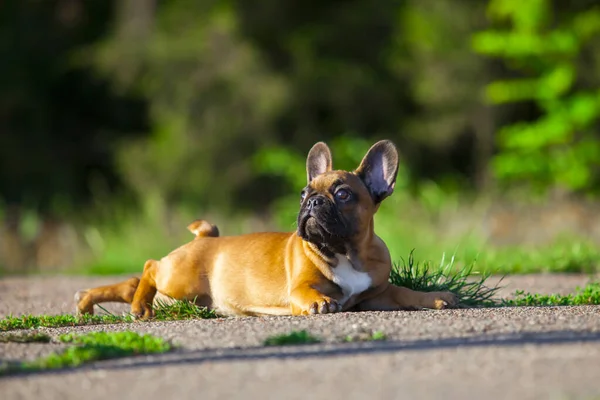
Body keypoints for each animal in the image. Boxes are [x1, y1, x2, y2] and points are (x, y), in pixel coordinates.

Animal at [76, 141, 460, 318]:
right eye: (304, 193)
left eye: (343, 194)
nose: (312, 202)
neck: (345, 251)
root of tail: (204, 239)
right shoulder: (299, 286)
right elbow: (309, 292)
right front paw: (321, 302)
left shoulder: (376, 294)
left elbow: (403, 292)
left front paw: (434, 296)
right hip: (180, 279)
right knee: (150, 267)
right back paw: (138, 307)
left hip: (180, 293)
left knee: (131, 282)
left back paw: (88, 300)